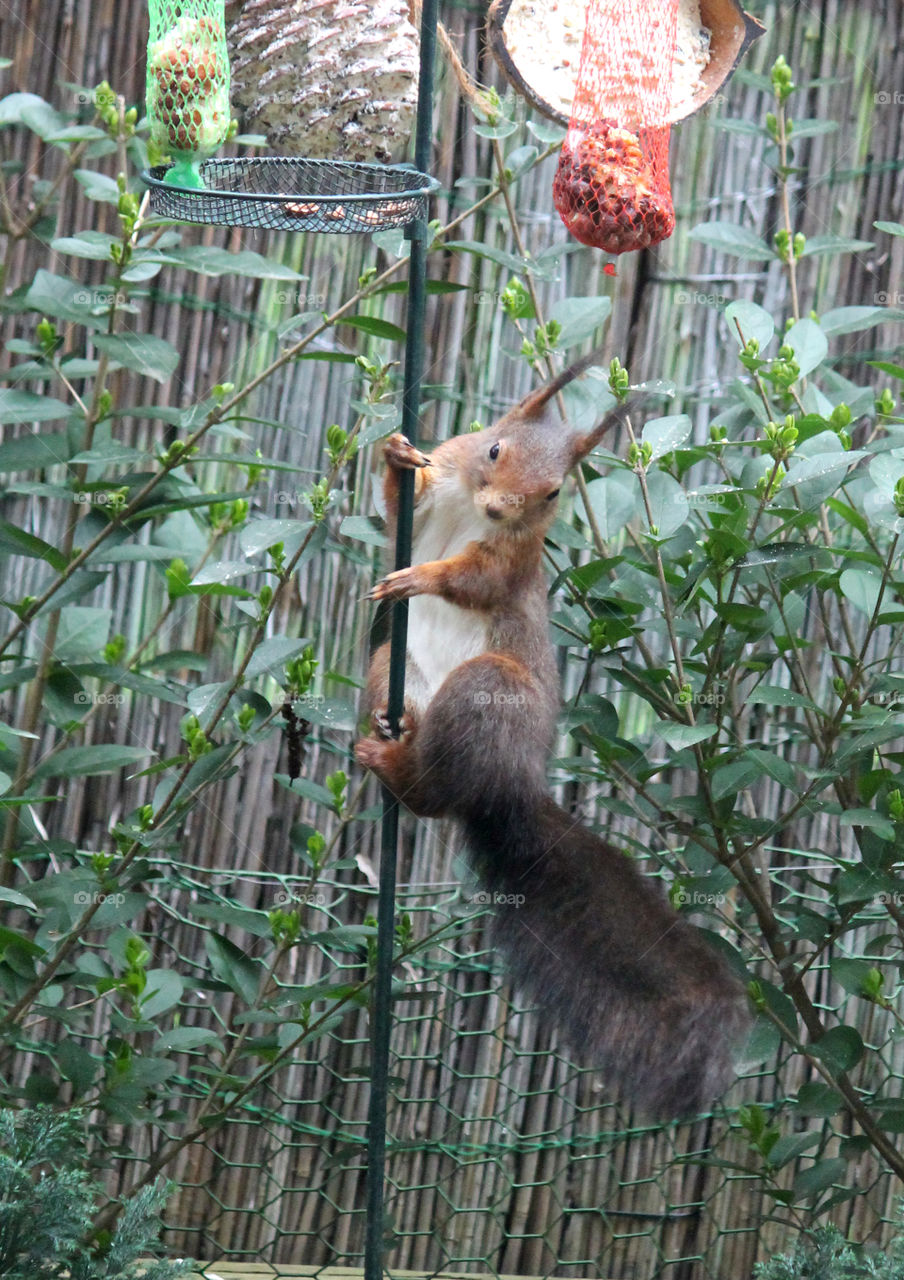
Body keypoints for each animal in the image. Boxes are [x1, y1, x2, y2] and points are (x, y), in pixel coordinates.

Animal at [353, 353, 747, 1121]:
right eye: (494, 449)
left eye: (555, 490)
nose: (501, 508)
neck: (470, 505)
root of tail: (508, 785)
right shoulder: (442, 483)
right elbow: (397, 511)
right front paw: (395, 454)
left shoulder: (514, 558)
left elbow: (474, 579)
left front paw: (426, 576)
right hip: (395, 664)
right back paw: (391, 728)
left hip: (487, 690)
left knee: (431, 795)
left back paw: (395, 763)